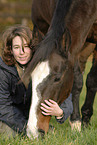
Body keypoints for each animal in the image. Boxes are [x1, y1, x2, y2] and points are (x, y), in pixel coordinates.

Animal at [21, 0, 97, 138]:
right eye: (31, 77)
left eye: (57, 78)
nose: (33, 132)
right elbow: (77, 81)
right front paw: (77, 122)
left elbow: (91, 80)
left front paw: (80, 122)